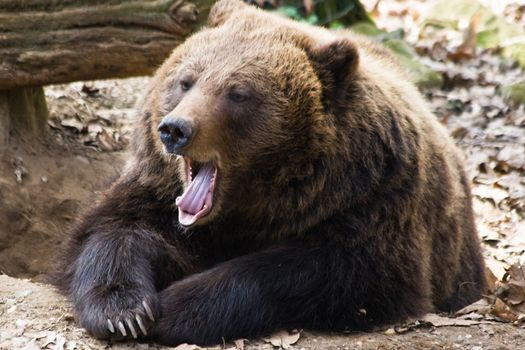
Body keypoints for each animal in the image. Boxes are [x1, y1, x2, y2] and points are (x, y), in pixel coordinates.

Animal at [51, 0, 486, 344]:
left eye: (238, 93)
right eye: (186, 80)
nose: (174, 130)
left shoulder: (373, 200)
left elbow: (340, 272)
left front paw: (177, 308)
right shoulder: (158, 193)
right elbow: (112, 230)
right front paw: (125, 311)